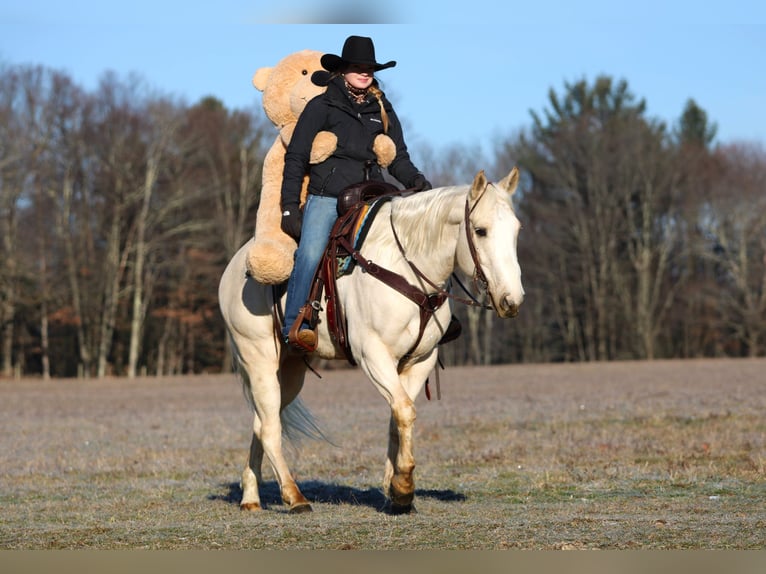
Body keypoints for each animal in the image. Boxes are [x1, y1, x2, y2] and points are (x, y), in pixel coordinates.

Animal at [218, 168, 524, 514]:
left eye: (516, 229)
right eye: (480, 230)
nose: (512, 300)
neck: (405, 265)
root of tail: (235, 267)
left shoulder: (420, 360)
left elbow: (398, 415)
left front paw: (396, 489)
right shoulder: (373, 355)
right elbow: (403, 410)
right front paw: (403, 485)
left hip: (290, 369)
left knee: (262, 421)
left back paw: (251, 496)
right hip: (258, 359)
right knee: (270, 427)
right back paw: (294, 497)